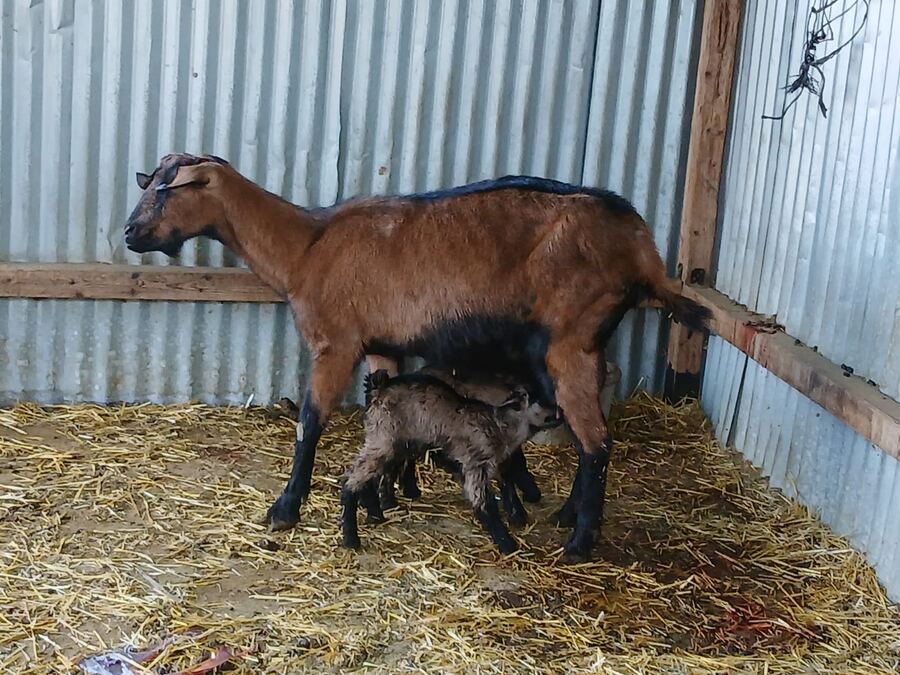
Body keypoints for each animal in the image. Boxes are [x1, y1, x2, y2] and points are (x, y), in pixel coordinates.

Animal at [342, 370, 558, 553]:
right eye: (539, 400)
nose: (559, 415)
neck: (500, 427)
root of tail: (379, 389)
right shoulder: (475, 466)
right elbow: (486, 504)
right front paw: (507, 544)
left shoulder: (495, 463)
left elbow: (507, 484)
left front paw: (517, 516)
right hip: (384, 439)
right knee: (351, 480)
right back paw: (350, 538)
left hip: (393, 444)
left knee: (368, 477)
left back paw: (375, 515)